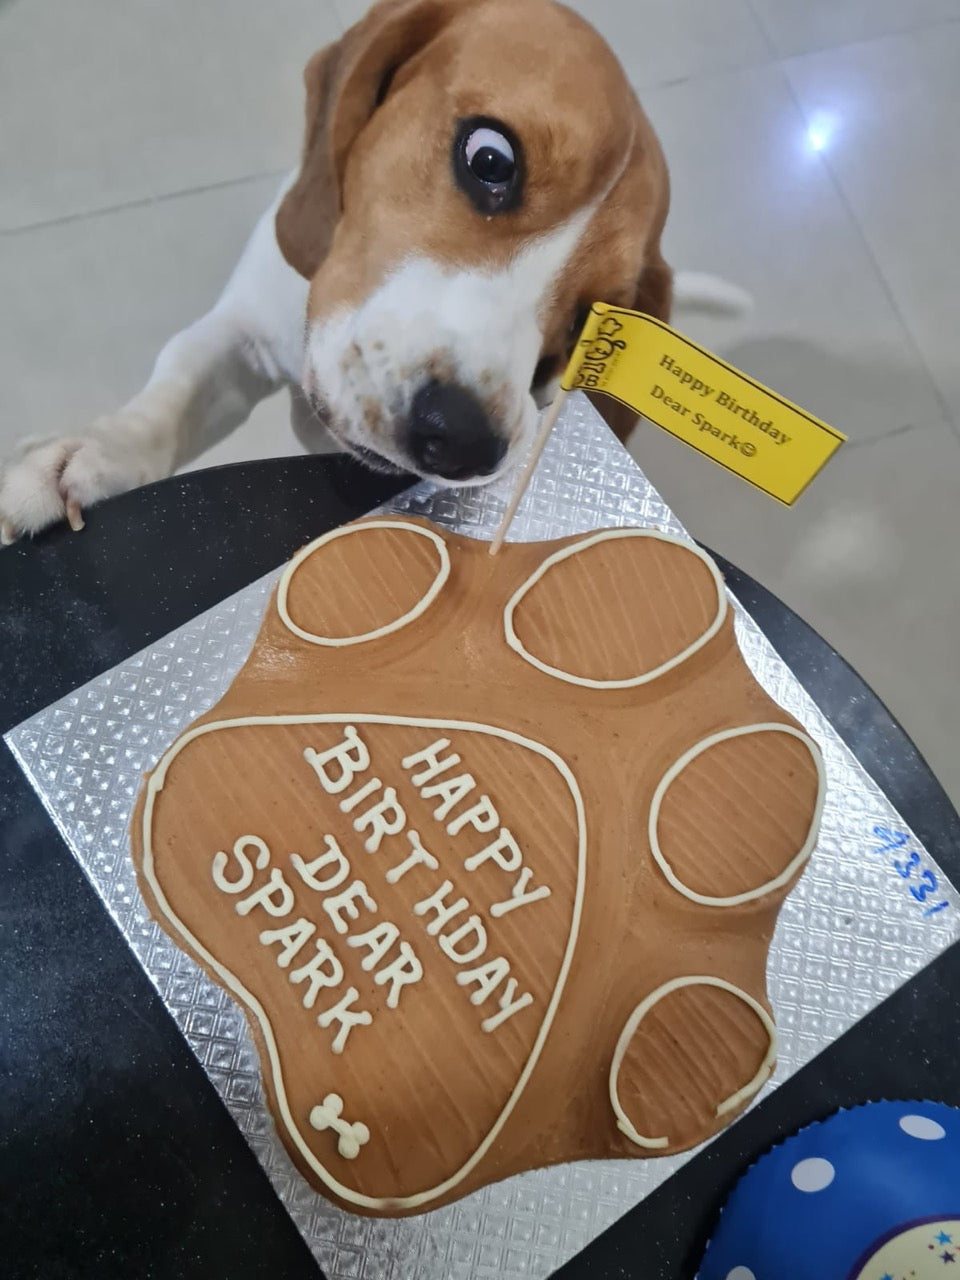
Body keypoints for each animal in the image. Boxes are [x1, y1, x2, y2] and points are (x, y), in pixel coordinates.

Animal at [0, 0, 742, 545]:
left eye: (591, 323)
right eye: (491, 159)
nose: (463, 441)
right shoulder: (246, 327)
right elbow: (177, 387)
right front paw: (87, 456)